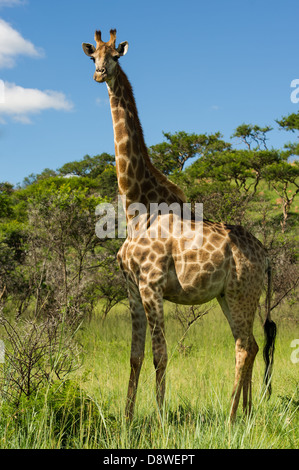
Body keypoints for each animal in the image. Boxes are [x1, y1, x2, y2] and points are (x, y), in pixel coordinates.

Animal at [81, 29, 276, 422]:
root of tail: (265, 258)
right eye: (92, 55)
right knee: (249, 343)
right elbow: (135, 355)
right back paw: (245, 413)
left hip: (242, 293)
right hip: (229, 296)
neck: (137, 208)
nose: (99, 73)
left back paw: (231, 417)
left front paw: (159, 420)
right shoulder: (132, 287)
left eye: (116, 56)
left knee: (245, 346)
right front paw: (127, 419)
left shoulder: (152, 284)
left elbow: (161, 354)